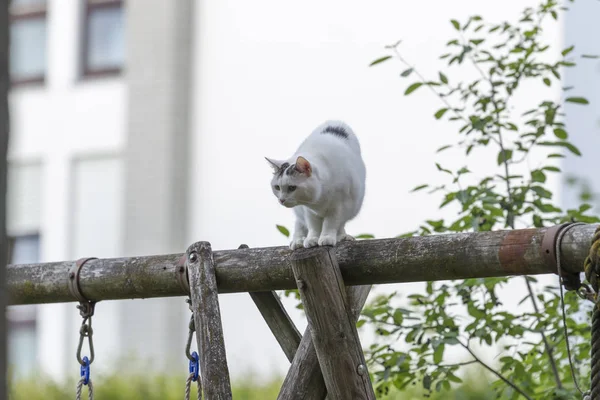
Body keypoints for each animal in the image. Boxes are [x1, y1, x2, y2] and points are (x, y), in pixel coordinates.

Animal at [266, 119, 366, 250]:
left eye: (292, 187)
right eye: (277, 187)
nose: (281, 200)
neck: (319, 198)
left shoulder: (338, 206)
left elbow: (331, 223)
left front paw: (327, 237)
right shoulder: (308, 210)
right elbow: (313, 226)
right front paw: (312, 239)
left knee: (340, 224)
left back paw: (341, 236)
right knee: (300, 224)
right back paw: (298, 240)